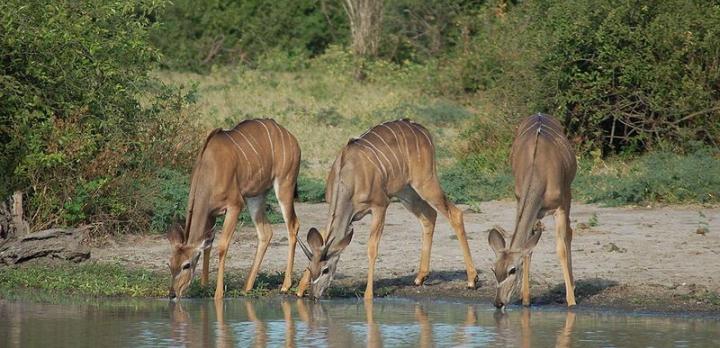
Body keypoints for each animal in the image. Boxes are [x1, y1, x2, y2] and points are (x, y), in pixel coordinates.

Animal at [167, 119, 300, 300]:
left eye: (186, 265)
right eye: (169, 264)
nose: (172, 294)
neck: (209, 168)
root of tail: (291, 138)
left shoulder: (234, 205)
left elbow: (222, 246)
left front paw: (218, 293)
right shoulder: (210, 213)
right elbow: (208, 245)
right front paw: (204, 286)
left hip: (284, 185)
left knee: (293, 225)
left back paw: (286, 286)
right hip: (255, 196)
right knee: (266, 232)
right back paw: (247, 287)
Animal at [292, 119, 478, 300]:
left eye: (326, 270)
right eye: (310, 268)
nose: (314, 295)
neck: (349, 177)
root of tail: (422, 129)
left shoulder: (380, 206)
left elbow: (372, 248)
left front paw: (368, 294)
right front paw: (299, 290)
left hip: (426, 183)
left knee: (455, 214)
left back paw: (472, 279)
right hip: (406, 192)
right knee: (429, 216)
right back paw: (420, 277)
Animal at [486, 113, 576, 308]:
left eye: (512, 270)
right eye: (494, 269)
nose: (498, 302)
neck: (538, 170)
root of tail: (540, 114)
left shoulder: (559, 207)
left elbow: (560, 249)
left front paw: (571, 300)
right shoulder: (520, 201)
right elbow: (528, 249)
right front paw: (526, 299)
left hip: (568, 193)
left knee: (569, 233)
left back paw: (573, 286)